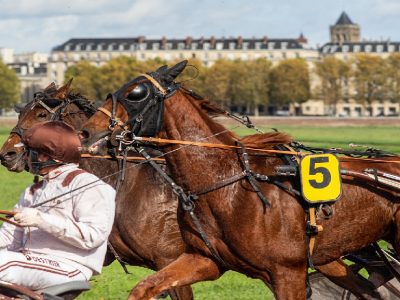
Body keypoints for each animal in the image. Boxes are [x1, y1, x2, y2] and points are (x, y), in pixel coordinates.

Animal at [79, 59, 400, 298]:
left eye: (136, 93)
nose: (86, 131)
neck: (228, 183)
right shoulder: (203, 259)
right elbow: (144, 288)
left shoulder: (288, 273)